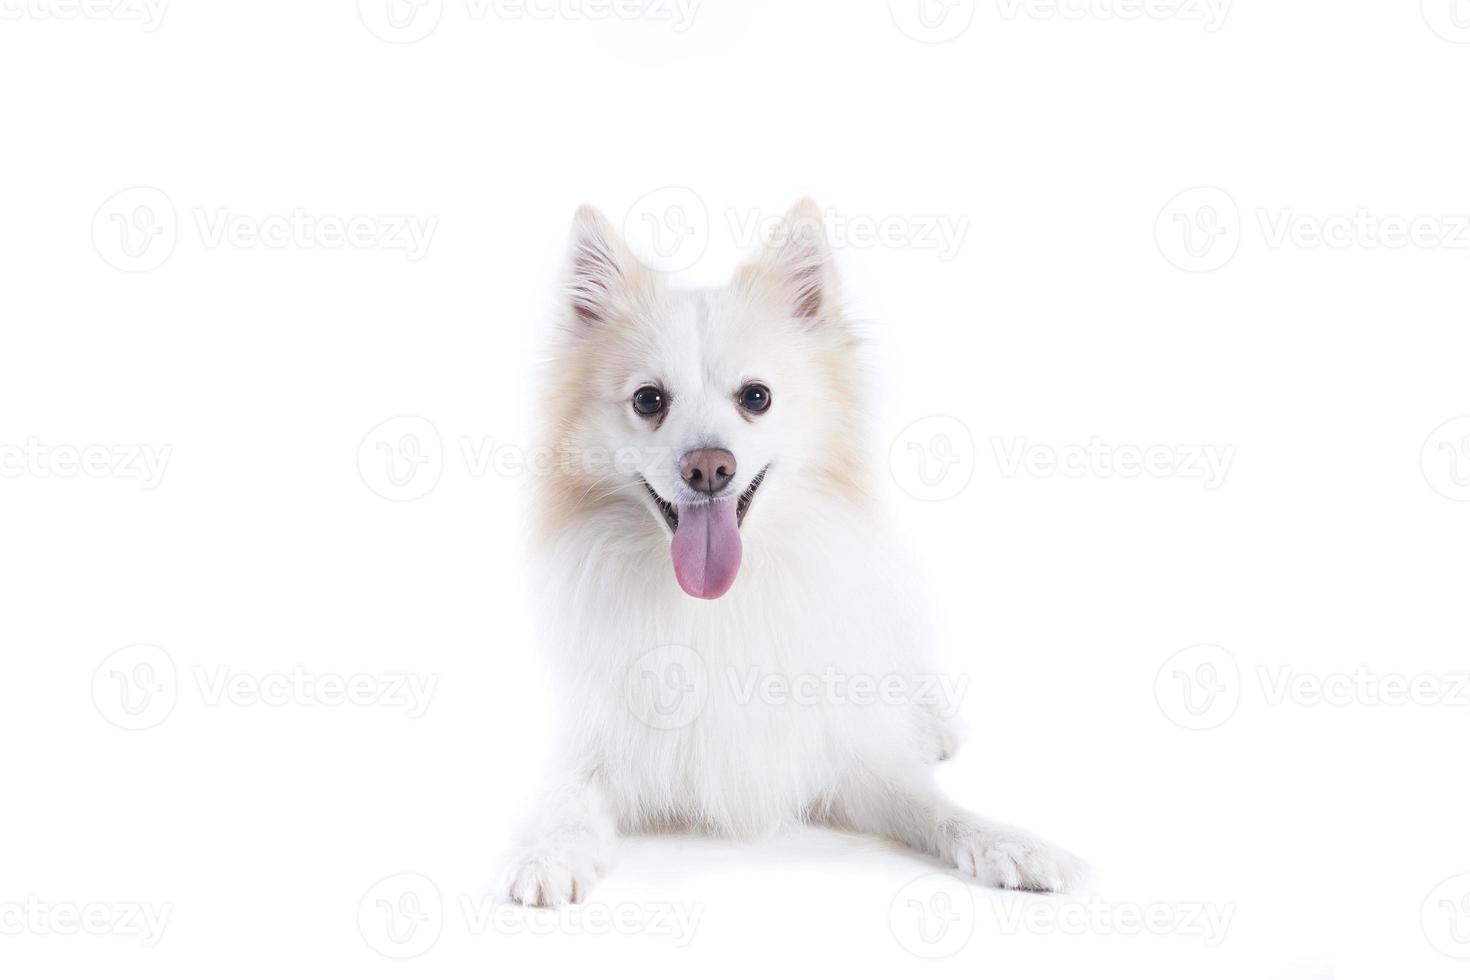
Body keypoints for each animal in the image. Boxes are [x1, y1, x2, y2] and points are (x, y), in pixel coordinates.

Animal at [505, 201, 1081, 910]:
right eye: (648, 400)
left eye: (756, 397)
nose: (709, 467)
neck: (715, 603)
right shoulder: (595, 742)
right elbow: (565, 797)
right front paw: (547, 854)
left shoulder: (849, 756)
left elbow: (931, 806)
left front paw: (1009, 843)